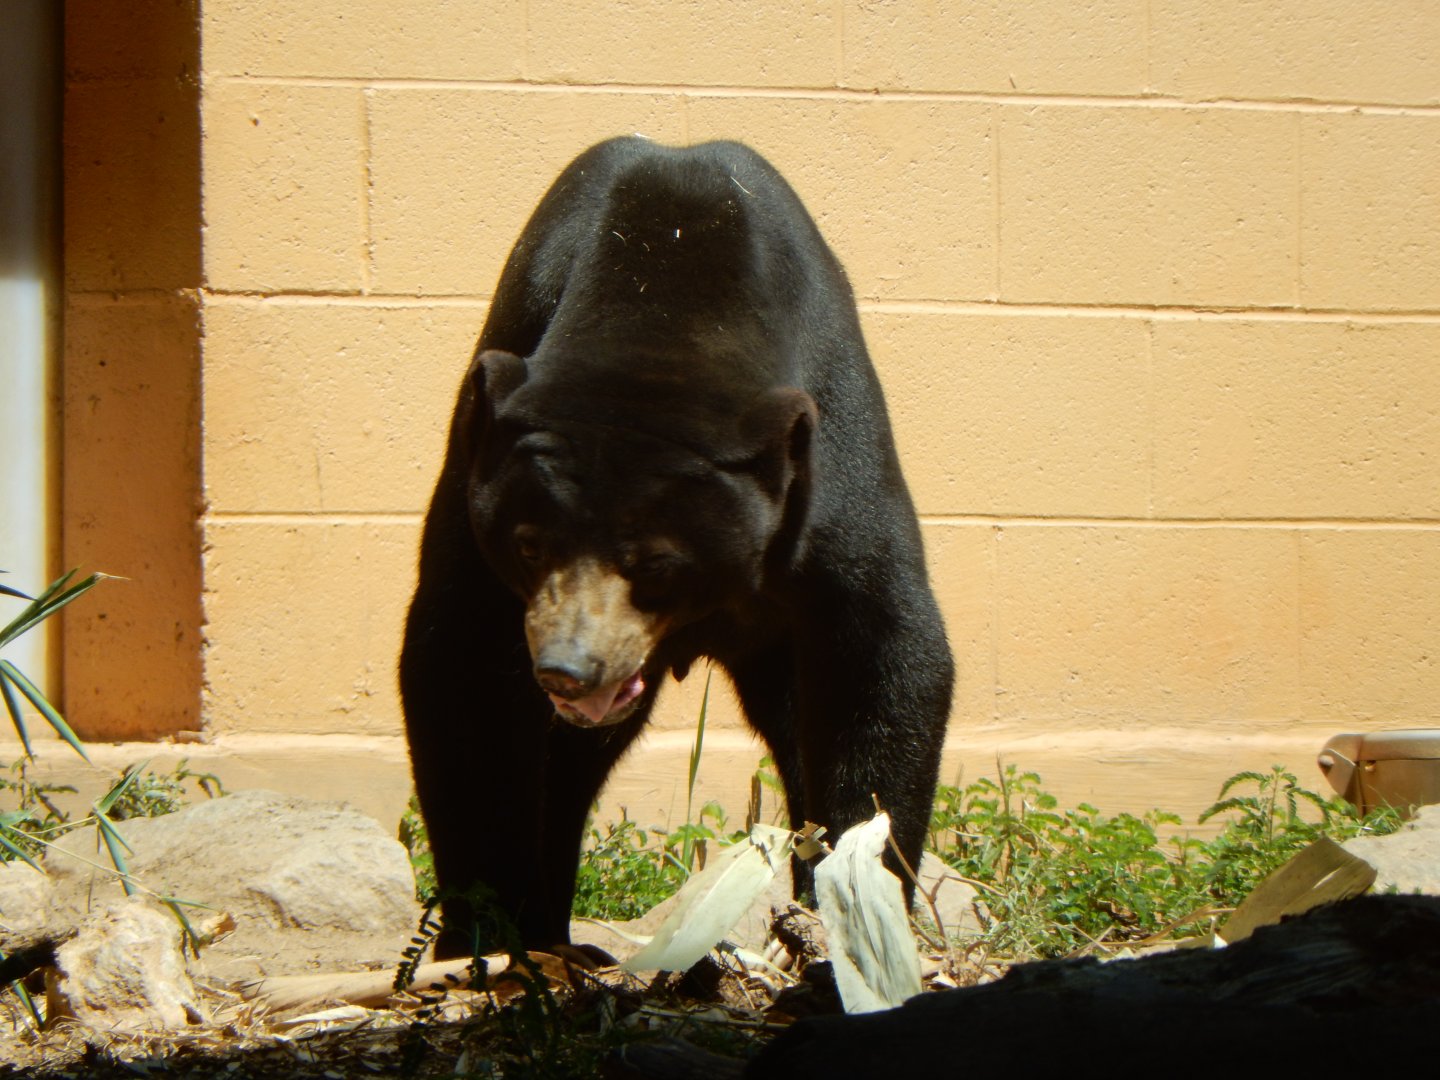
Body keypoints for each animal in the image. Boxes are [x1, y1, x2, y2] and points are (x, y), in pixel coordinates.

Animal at [400, 137, 954, 960]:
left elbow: (884, 647)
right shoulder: (485, 428)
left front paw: (858, 891)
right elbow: (462, 666)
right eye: (528, 545)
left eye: (657, 560)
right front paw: (487, 937)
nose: (566, 667)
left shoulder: (831, 453)